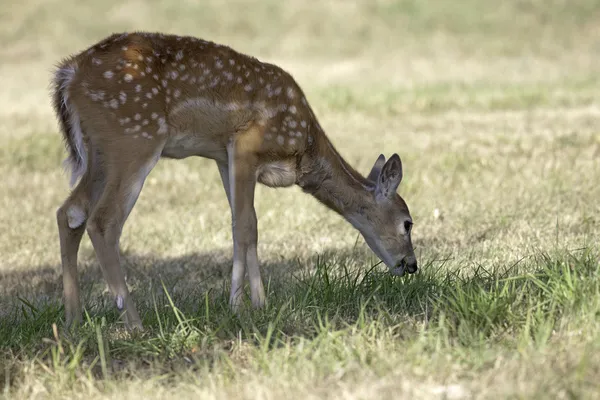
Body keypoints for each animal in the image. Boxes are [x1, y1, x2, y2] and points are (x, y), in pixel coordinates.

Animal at [51, 32, 418, 332]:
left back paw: (72, 321)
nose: (412, 265)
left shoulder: (222, 157)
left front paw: (255, 304)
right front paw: (243, 306)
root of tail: (68, 74)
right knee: (103, 220)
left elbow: (243, 226)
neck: (305, 147)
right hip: (133, 136)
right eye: (408, 223)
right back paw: (135, 324)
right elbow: (245, 225)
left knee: (70, 212)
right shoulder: (245, 144)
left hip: (100, 152)